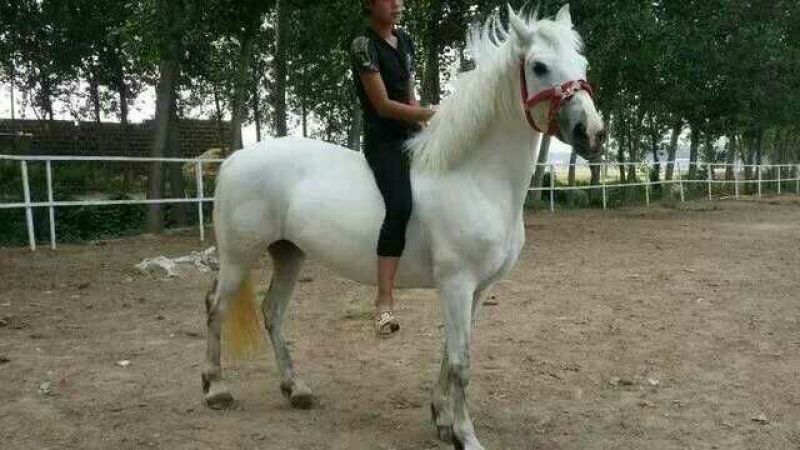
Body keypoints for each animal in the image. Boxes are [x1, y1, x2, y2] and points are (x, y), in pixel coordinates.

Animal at [201, 5, 604, 449]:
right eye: (539, 67)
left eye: (582, 63)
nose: (592, 133)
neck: (475, 177)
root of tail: (235, 159)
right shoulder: (456, 284)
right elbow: (461, 362)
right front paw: (466, 436)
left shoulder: (479, 289)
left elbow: (449, 353)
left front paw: (443, 420)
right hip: (239, 256)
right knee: (216, 308)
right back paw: (216, 389)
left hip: (289, 253)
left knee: (272, 312)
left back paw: (296, 389)